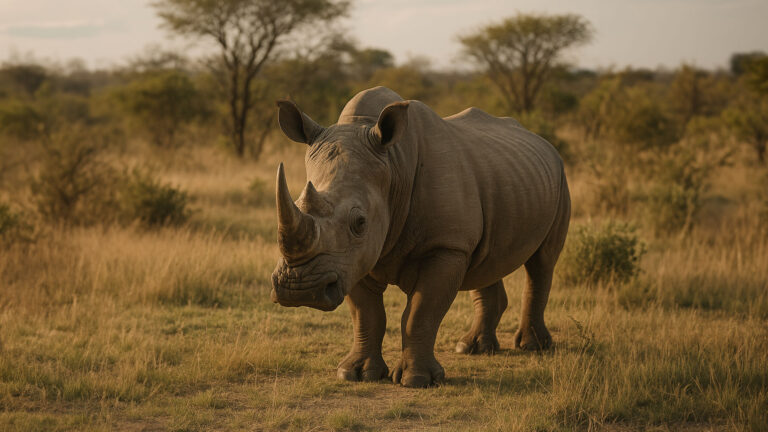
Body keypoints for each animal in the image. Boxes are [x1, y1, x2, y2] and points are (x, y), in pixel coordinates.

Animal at [270, 87, 570, 388]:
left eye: (360, 223)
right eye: (297, 204)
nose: (299, 289)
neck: (394, 165)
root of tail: (544, 142)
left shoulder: (445, 246)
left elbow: (420, 313)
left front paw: (416, 380)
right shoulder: (350, 259)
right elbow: (366, 314)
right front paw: (356, 374)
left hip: (559, 177)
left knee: (542, 263)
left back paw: (533, 346)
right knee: (486, 262)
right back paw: (472, 348)